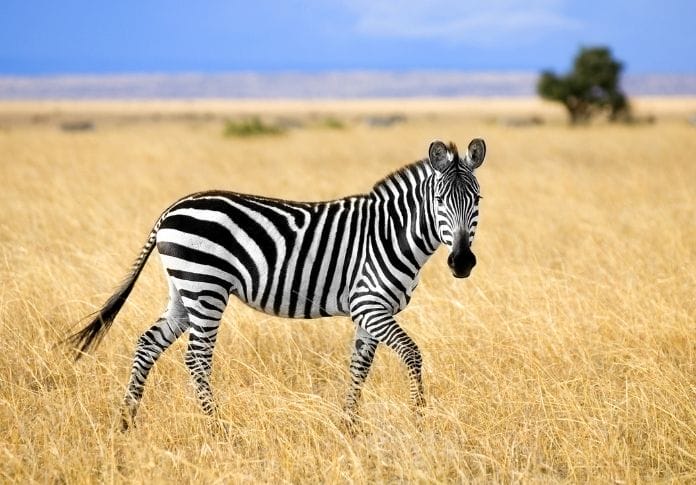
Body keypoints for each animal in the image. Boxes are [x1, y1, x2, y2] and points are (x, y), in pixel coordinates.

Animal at [66, 138, 486, 429]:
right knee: (197, 358)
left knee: (147, 344)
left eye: (477, 199)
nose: (462, 262)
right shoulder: (369, 304)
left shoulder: (369, 312)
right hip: (206, 286)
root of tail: (172, 208)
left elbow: (359, 366)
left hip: (183, 290)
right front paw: (420, 418)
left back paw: (127, 420)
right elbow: (412, 355)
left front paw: (349, 426)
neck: (390, 233)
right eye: (439, 200)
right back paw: (217, 428)